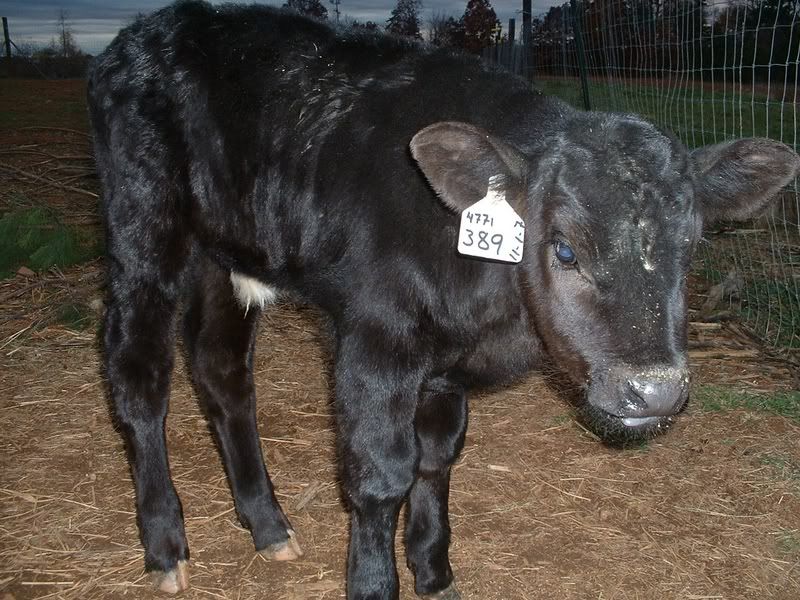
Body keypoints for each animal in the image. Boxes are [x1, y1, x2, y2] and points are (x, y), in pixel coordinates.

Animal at [87, 2, 800, 599]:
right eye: (565, 249)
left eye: (693, 243)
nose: (653, 389)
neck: (491, 314)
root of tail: (146, 31)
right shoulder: (375, 339)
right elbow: (381, 476)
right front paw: (374, 584)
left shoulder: (444, 364)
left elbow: (436, 459)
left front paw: (433, 572)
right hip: (143, 233)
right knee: (139, 377)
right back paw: (166, 544)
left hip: (228, 257)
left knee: (222, 372)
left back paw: (269, 526)